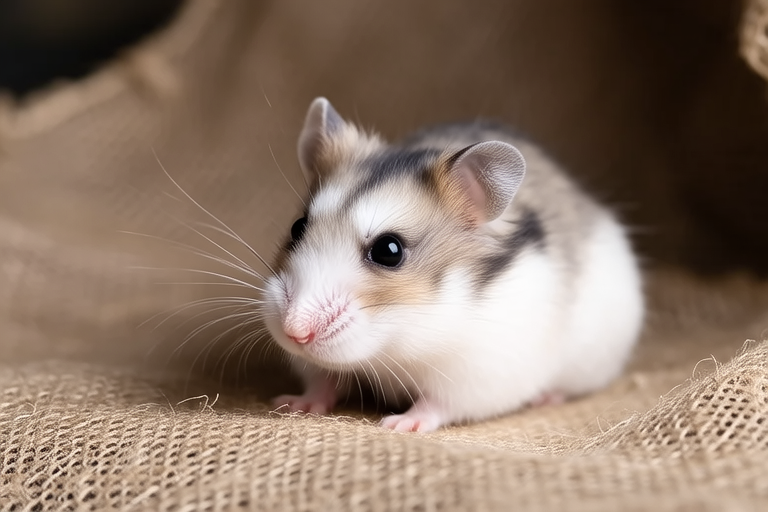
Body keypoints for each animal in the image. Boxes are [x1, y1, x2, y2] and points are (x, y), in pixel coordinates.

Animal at [263, 97, 644, 433]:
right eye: (298, 227)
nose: (295, 333)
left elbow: (438, 404)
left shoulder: (476, 374)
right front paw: (292, 404)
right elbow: (323, 380)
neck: (401, 337)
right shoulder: (319, 367)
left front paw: (400, 424)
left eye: (389, 250)